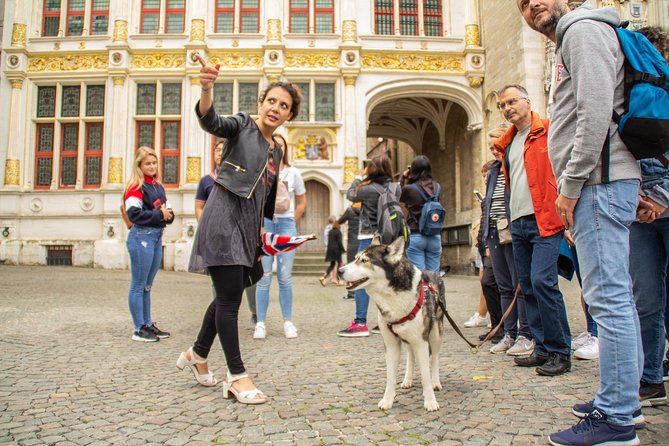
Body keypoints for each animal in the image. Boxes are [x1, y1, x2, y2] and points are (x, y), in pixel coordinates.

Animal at [340, 237, 444, 412]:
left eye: (364, 260)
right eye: (355, 258)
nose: (340, 271)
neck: (392, 295)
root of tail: (434, 272)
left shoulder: (421, 341)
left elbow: (425, 375)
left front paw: (430, 401)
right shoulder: (391, 344)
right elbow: (390, 376)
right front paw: (387, 401)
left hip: (435, 333)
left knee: (435, 358)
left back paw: (436, 382)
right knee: (410, 355)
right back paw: (407, 380)